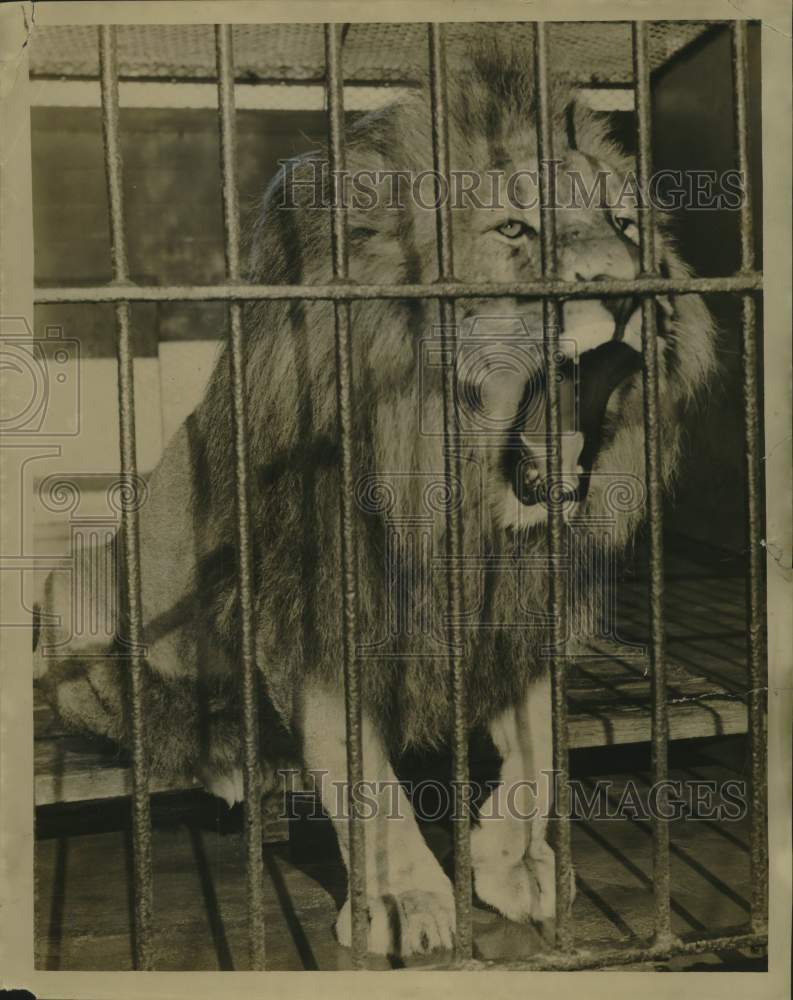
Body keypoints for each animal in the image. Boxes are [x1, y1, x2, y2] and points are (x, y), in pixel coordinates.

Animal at [35, 33, 716, 960]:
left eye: (626, 225)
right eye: (514, 229)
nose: (622, 290)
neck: (461, 502)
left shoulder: (518, 612)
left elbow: (540, 754)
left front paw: (518, 865)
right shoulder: (322, 616)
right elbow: (367, 785)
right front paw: (401, 900)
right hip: (75, 581)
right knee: (100, 697)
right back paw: (222, 745)